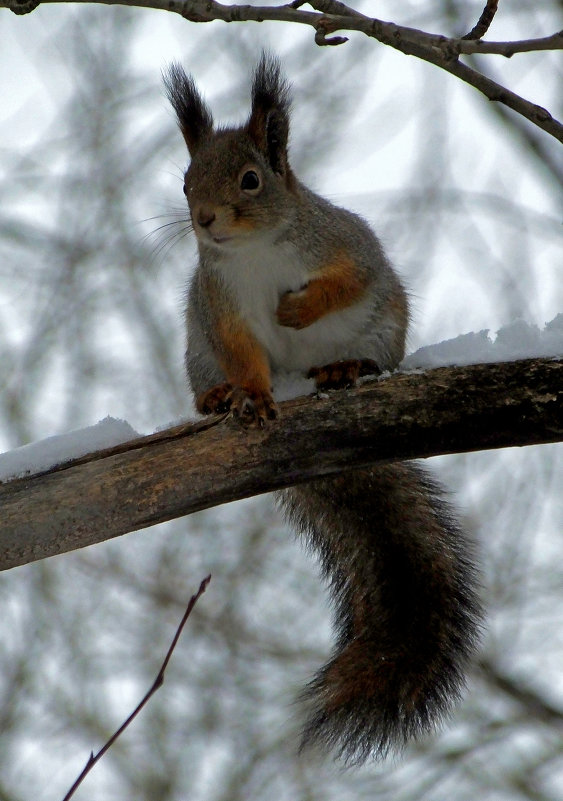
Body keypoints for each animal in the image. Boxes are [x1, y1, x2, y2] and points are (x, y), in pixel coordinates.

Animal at [163, 51, 480, 764]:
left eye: (251, 180)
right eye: (188, 181)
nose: (204, 221)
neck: (253, 252)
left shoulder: (345, 245)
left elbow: (347, 279)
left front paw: (298, 310)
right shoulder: (221, 307)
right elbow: (246, 354)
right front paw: (251, 397)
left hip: (383, 328)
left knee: (368, 351)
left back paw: (343, 368)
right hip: (197, 343)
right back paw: (217, 398)